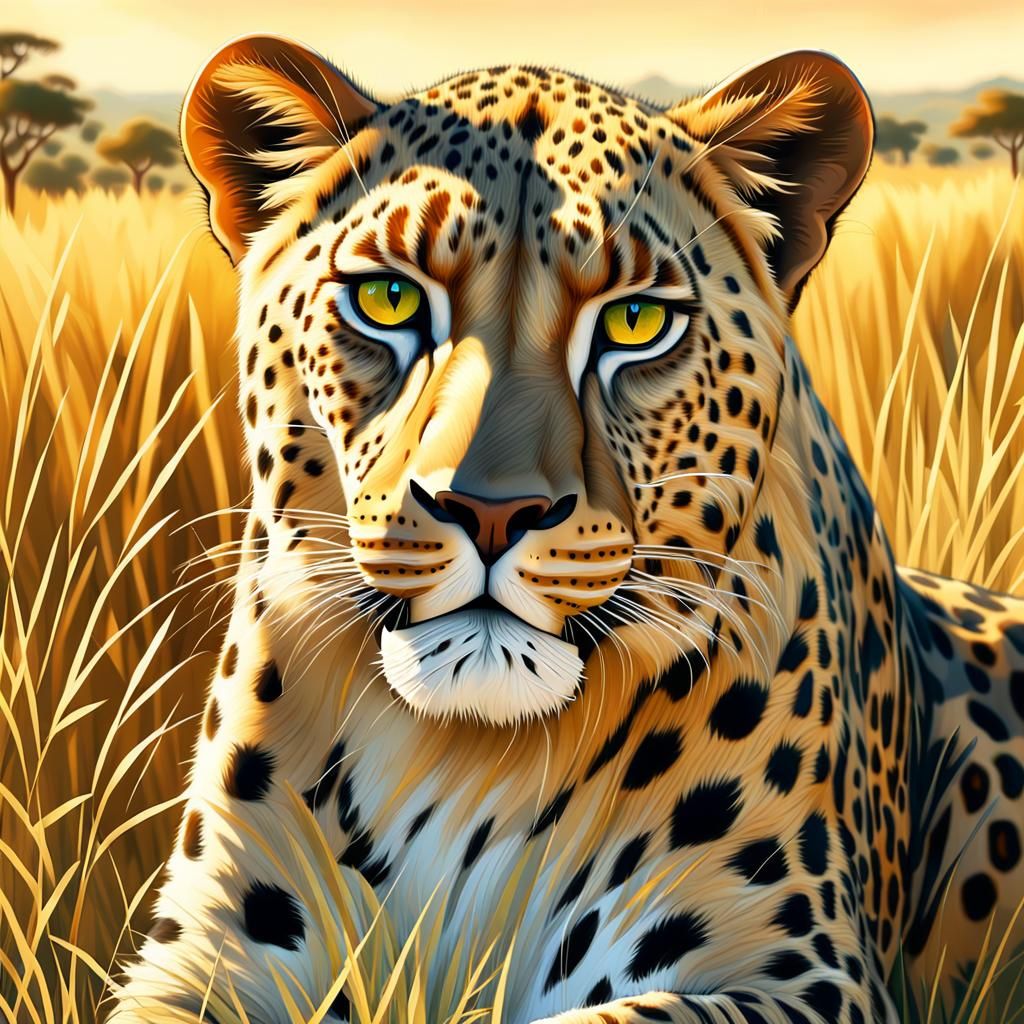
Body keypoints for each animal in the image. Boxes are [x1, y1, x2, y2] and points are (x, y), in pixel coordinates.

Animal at [108, 34, 1024, 1024]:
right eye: (389, 300)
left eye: (636, 320)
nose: (489, 510)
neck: (463, 760)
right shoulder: (197, 960)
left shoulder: (806, 976)